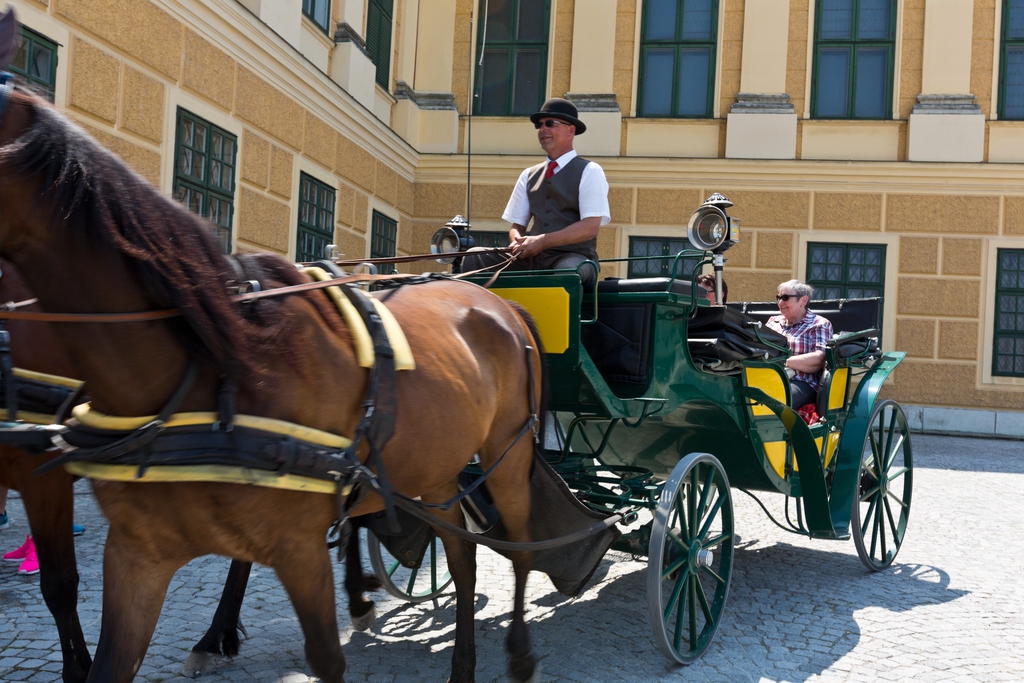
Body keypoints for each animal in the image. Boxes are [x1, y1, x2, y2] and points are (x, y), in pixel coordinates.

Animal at [0, 28, 544, 683]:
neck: (203, 380)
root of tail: (498, 301)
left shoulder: (296, 547)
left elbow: (326, 656)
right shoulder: (136, 554)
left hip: (506, 455)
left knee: (519, 549)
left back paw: (515, 652)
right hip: (439, 469)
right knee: (461, 556)